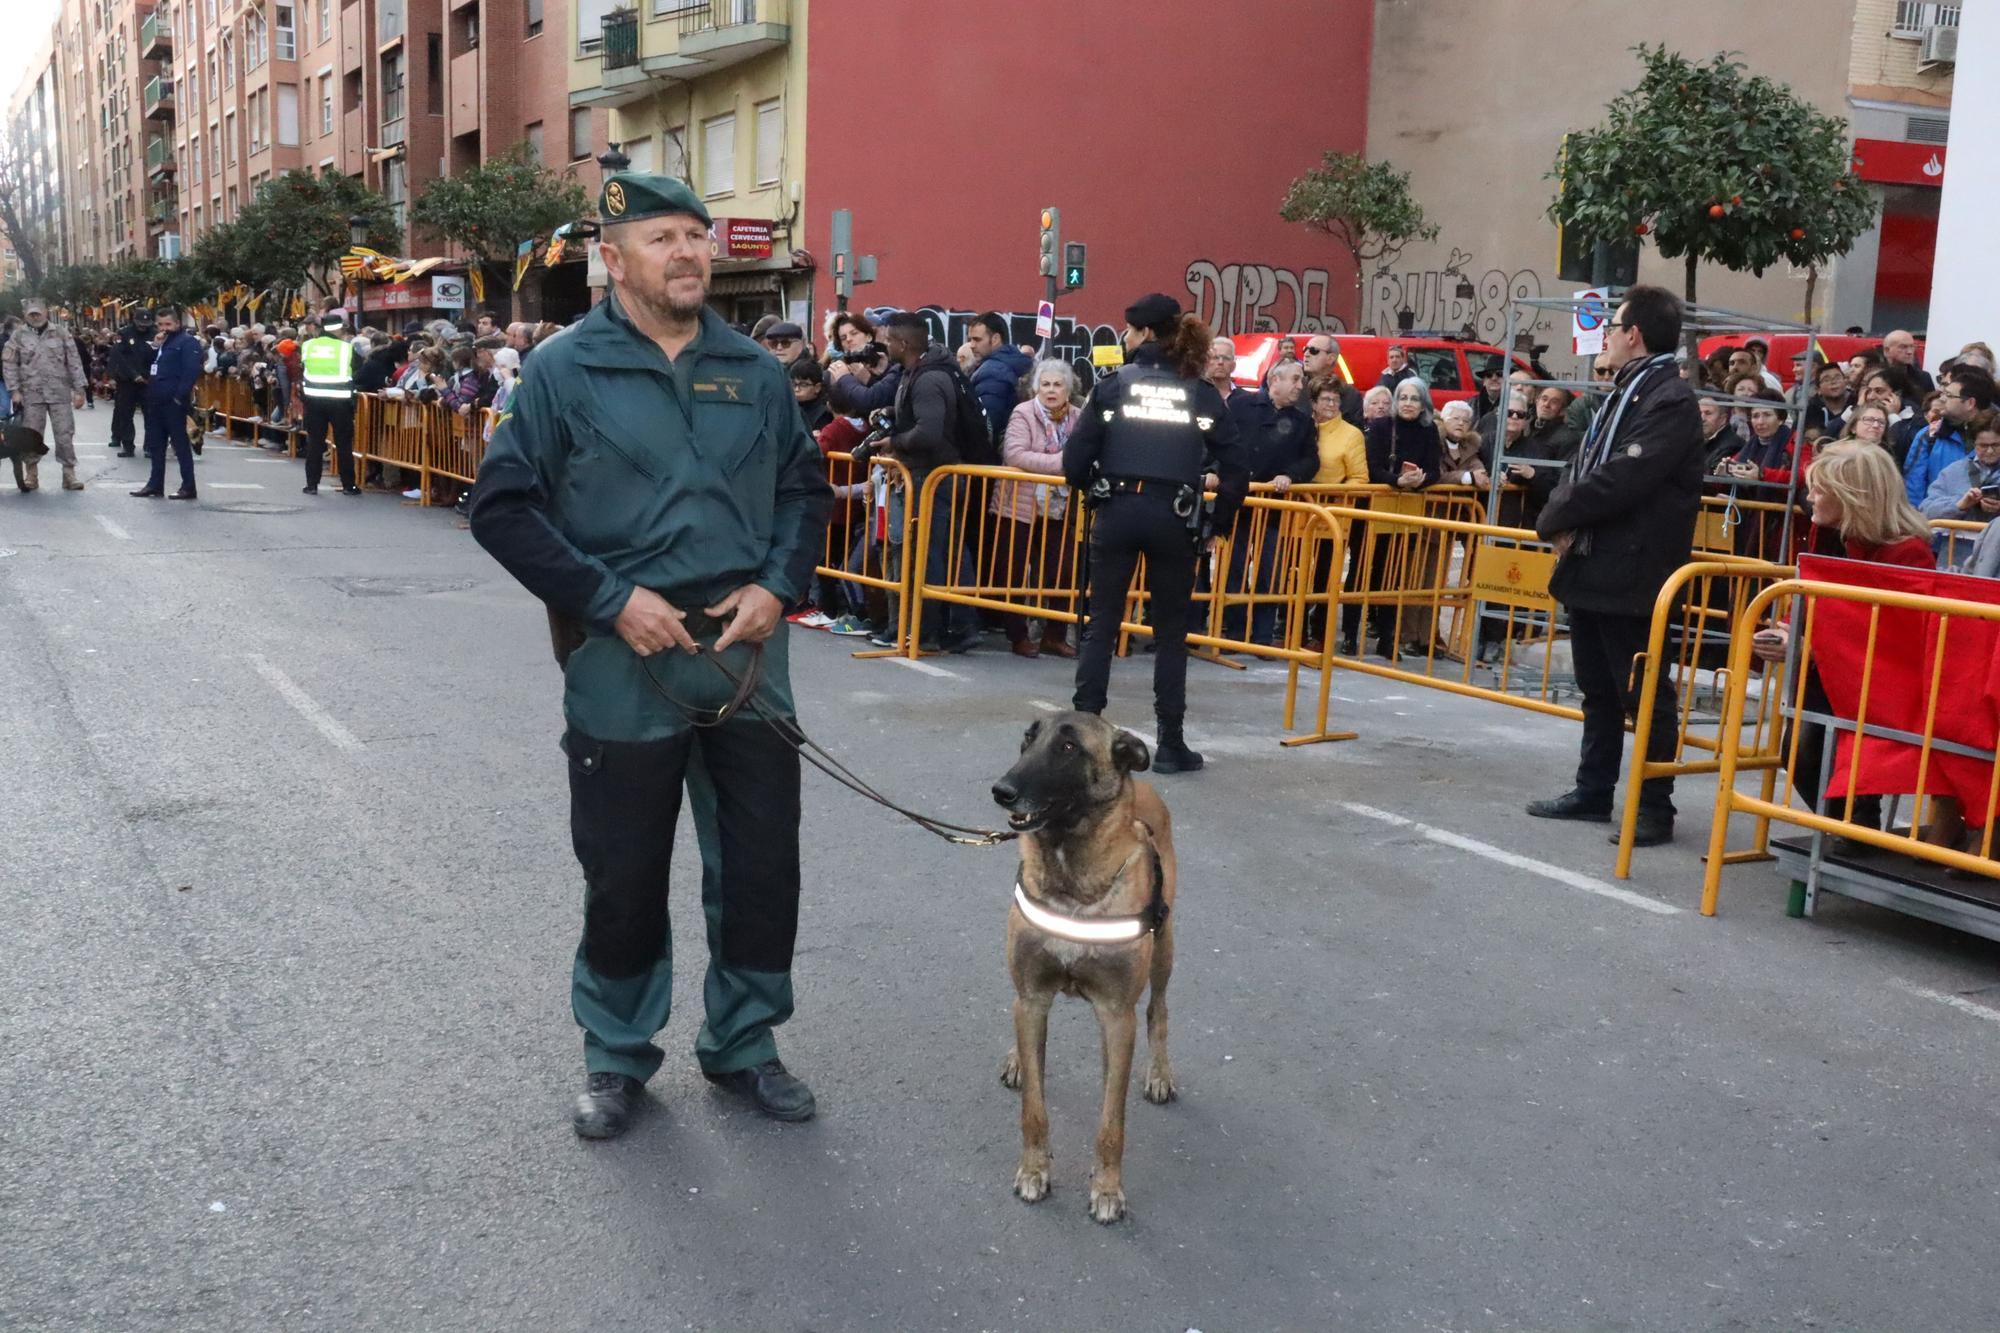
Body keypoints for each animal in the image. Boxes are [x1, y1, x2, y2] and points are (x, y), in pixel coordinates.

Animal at [992, 712, 1176, 1216]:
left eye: (1069, 747)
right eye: (1028, 739)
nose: (1001, 790)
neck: (1073, 882)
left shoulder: (1117, 1016)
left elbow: (1111, 1120)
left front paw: (1108, 1188)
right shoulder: (1034, 997)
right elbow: (1034, 1108)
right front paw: (1034, 1171)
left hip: (1165, 949)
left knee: (1158, 1010)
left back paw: (1159, 1073)